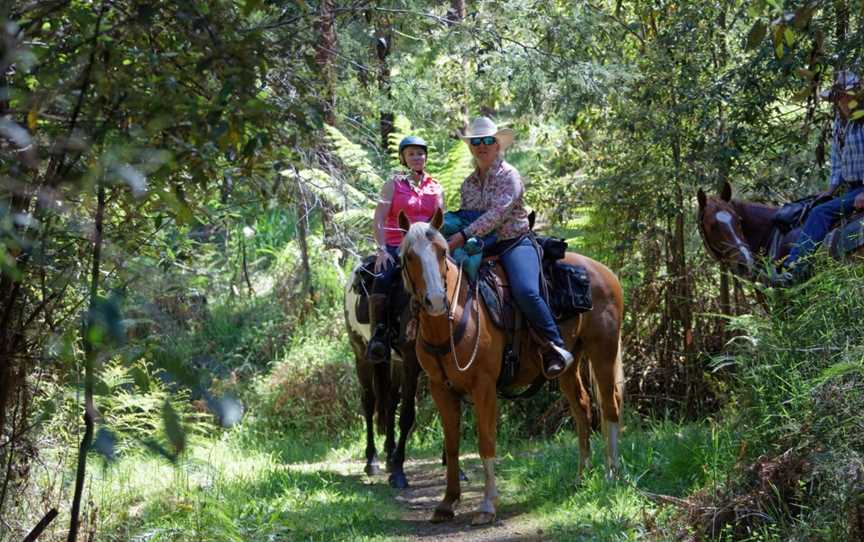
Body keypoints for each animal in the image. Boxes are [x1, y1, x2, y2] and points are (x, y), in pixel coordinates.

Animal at [346, 266, 424, 490]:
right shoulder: (411, 362)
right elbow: (407, 416)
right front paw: (399, 474)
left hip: (395, 363)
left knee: (390, 400)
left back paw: (389, 454)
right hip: (361, 354)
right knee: (369, 402)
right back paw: (372, 460)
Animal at [394, 209, 624, 528]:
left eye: (441, 251)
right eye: (409, 256)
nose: (437, 300)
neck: (454, 319)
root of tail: (604, 271)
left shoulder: (484, 387)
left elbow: (486, 441)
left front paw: (488, 505)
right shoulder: (442, 389)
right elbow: (451, 445)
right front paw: (447, 502)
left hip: (603, 351)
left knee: (610, 407)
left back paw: (610, 474)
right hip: (569, 365)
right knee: (582, 408)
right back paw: (581, 477)